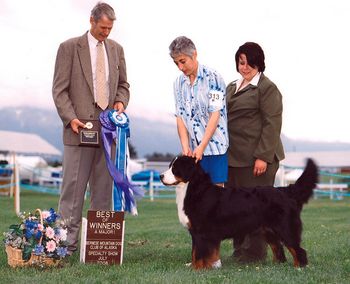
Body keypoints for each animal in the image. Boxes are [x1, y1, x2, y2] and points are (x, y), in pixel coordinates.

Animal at [160, 156, 318, 270]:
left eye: (175, 168)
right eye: (169, 166)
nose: (161, 176)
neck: (194, 189)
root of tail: (285, 191)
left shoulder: (202, 232)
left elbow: (199, 254)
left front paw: (197, 270)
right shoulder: (196, 233)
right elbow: (195, 253)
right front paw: (197, 267)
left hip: (285, 228)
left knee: (298, 250)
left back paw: (299, 268)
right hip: (269, 230)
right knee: (279, 249)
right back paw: (278, 266)